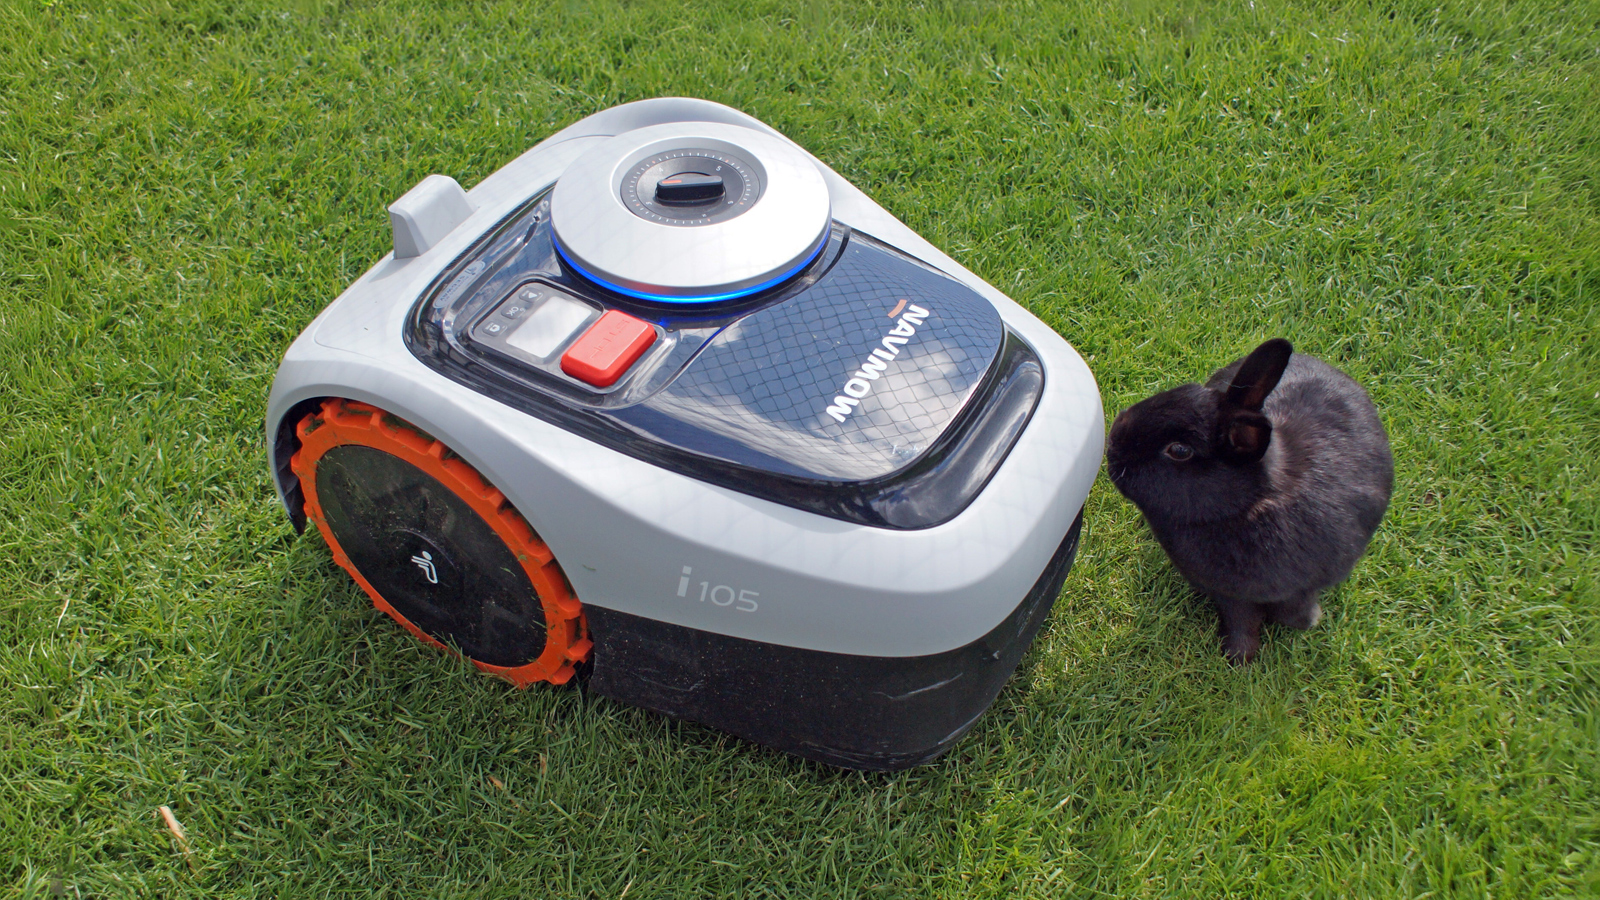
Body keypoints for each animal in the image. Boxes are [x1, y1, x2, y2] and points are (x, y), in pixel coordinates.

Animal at [1106, 338, 1393, 664]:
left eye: (1179, 450)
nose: (1113, 441)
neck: (1248, 506)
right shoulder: (1231, 596)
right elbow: (1241, 621)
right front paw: (1238, 656)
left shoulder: (1299, 589)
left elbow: (1290, 614)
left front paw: (1307, 622)